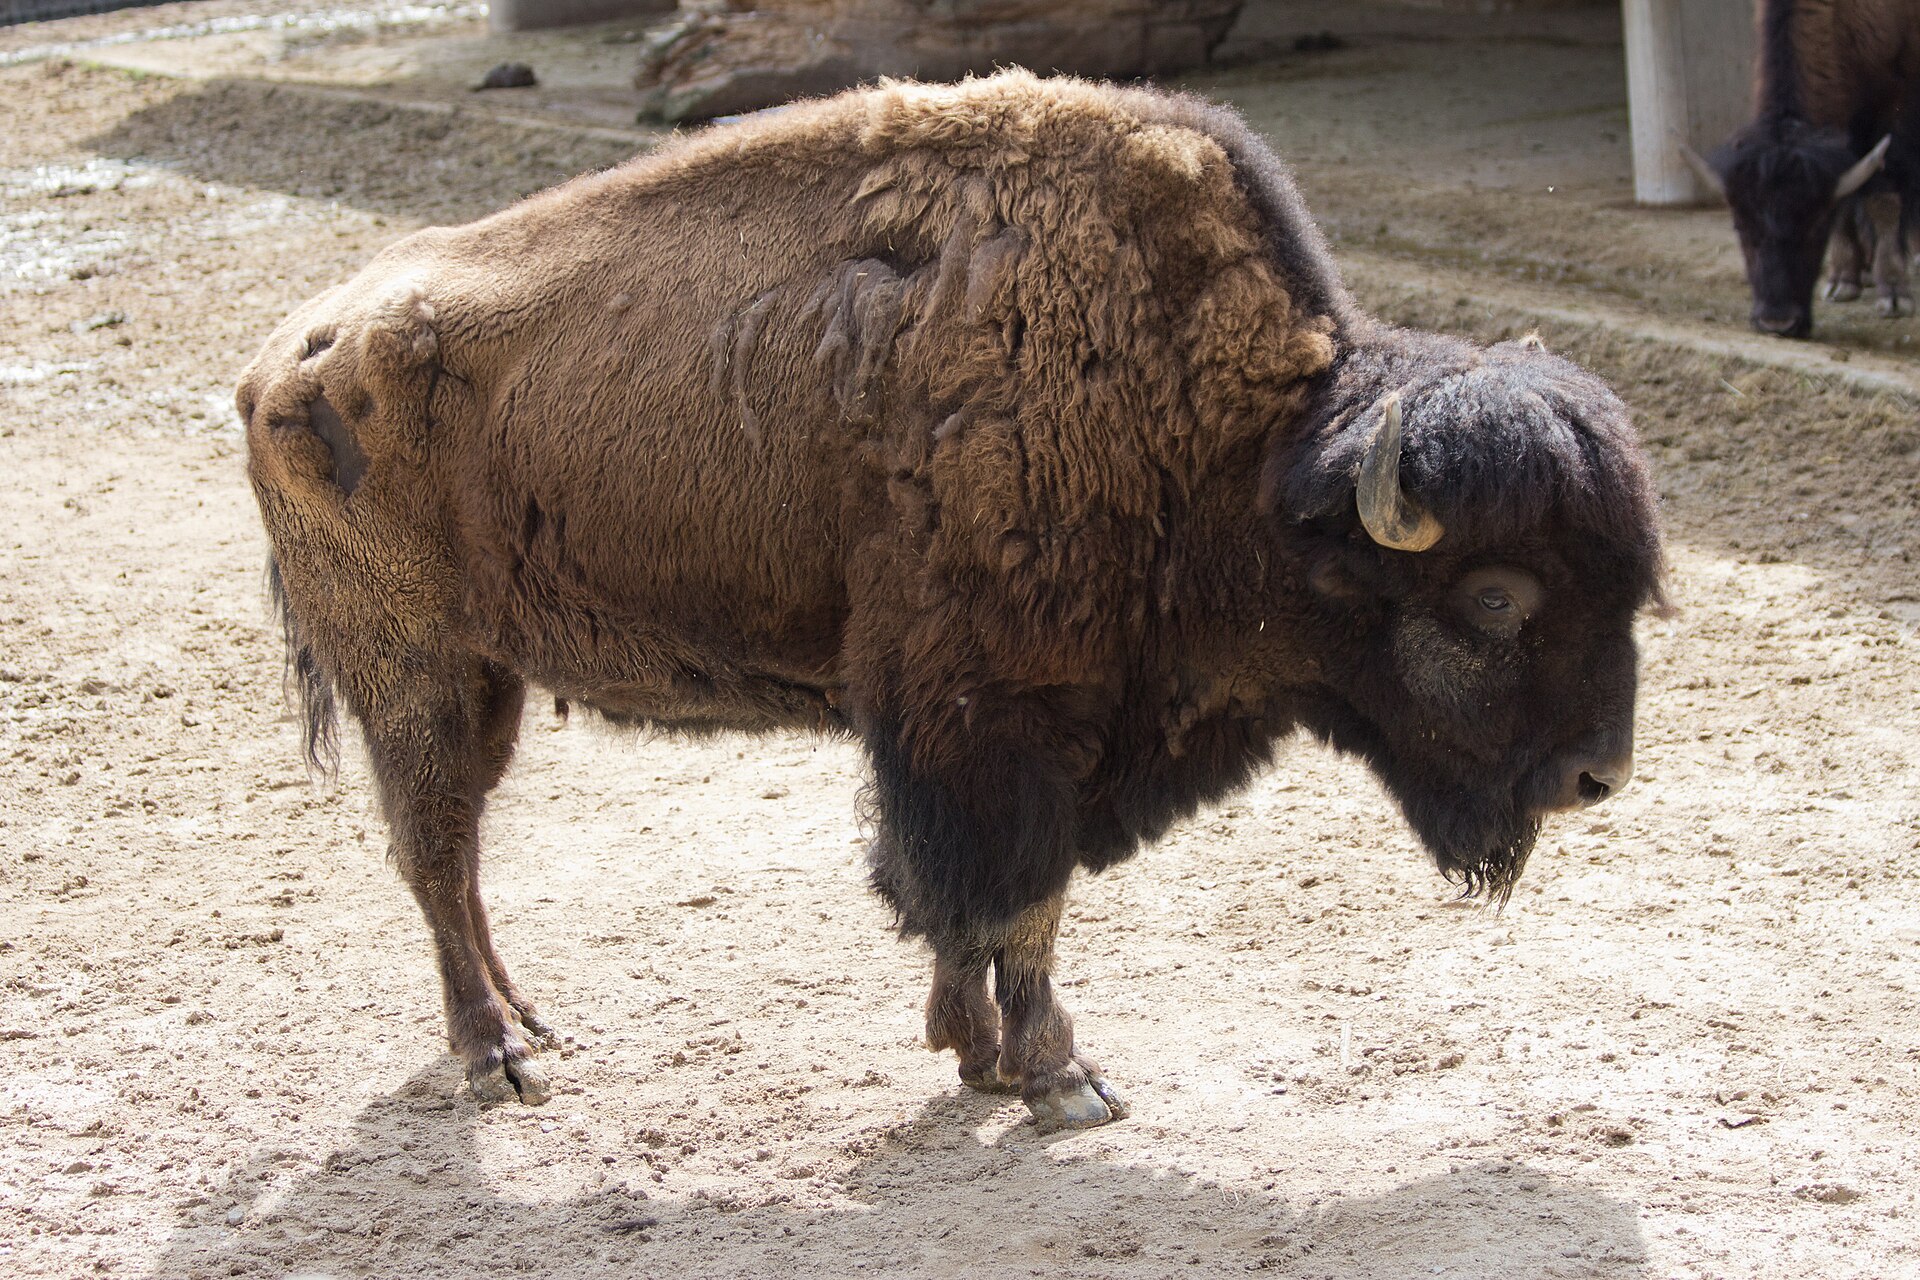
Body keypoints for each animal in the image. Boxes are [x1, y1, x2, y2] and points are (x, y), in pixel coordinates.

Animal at [240, 72, 1664, 1130]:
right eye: (1494, 598)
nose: (1597, 777)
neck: (1240, 448)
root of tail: (283, 360)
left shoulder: (983, 733)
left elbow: (957, 901)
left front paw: (976, 1054)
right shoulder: (1004, 720)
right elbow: (1016, 898)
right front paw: (1063, 1079)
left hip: (485, 677)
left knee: (461, 854)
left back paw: (532, 1024)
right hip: (414, 673)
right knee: (434, 850)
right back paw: (497, 1060)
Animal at [1680, 0, 1919, 337]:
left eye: (1816, 228)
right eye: (1740, 226)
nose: (1777, 321)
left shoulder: (1895, 109)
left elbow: (1884, 198)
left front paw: (1896, 296)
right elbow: (1847, 199)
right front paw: (1843, 281)